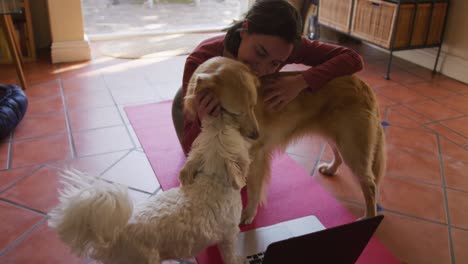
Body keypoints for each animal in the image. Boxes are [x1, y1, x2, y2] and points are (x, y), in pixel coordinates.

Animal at [49, 57, 262, 264]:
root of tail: (114, 233)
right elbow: (229, 254)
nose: (217, 113)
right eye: (235, 117)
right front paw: (238, 259)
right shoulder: (228, 235)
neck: (212, 178)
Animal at [185, 56, 386, 225]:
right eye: (237, 112)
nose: (256, 135)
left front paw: (249, 213)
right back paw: (331, 169)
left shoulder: (257, 156)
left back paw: (369, 216)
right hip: (336, 137)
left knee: (370, 184)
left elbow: (254, 189)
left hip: (351, 146)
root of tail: (364, 85)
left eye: (253, 106)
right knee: (340, 157)